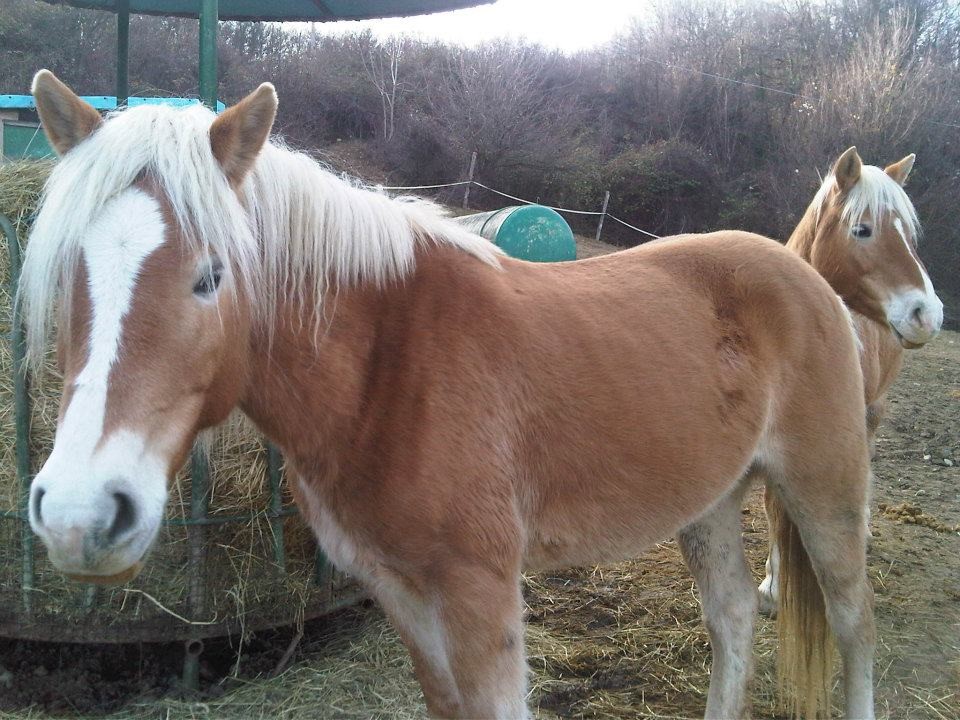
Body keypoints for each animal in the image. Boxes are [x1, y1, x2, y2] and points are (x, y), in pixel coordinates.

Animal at [22, 69, 876, 720]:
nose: (79, 514)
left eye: (211, 275)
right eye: (64, 271)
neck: (388, 366)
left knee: (852, 625)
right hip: (710, 501)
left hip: (824, 494)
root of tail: (807, 276)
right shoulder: (400, 591)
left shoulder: (479, 593)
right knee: (732, 620)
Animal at [756, 146, 944, 612]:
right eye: (862, 230)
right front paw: (773, 582)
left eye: (910, 237)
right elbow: (772, 502)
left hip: (871, 412)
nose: (928, 315)